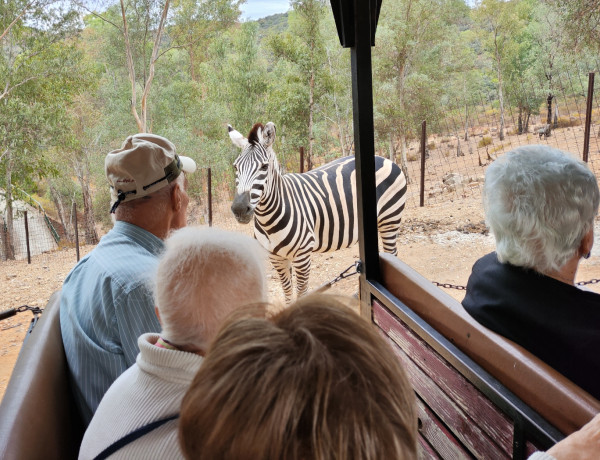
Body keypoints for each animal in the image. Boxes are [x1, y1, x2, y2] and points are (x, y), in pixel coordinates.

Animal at [230, 120, 408, 304]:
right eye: (235, 166)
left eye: (264, 166)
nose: (239, 208)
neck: (268, 221)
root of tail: (382, 158)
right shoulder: (276, 257)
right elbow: (287, 293)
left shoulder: (302, 256)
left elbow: (301, 293)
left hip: (390, 219)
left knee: (392, 253)